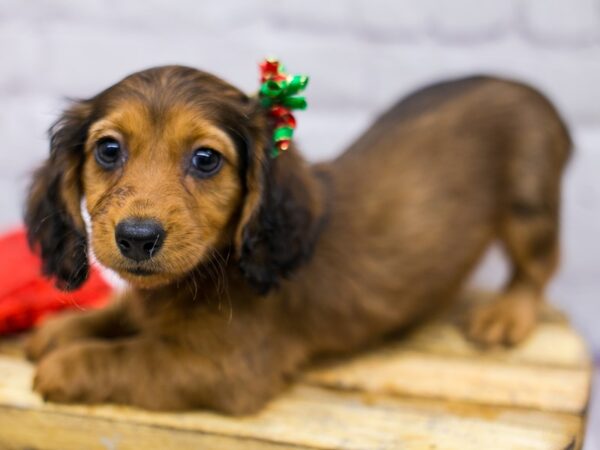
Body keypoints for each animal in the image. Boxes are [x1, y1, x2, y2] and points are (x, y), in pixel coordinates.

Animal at [23, 65, 572, 414]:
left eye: (206, 159)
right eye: (108, 150)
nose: (137, 238)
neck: (216, 267)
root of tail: (527, 90)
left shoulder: (223, 370)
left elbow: (131, 356)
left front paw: (64, 366)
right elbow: (122, 313)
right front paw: (64, 330)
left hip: (528, 209)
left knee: (538, 267)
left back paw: (507, 314)